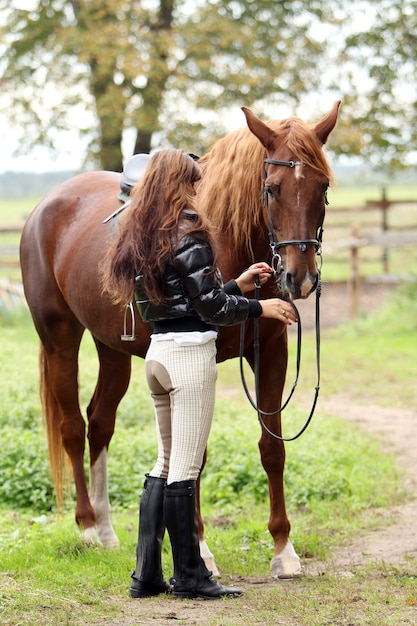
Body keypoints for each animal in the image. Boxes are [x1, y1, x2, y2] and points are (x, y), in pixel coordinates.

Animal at [19, 101, 340, 576]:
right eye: (272, 188)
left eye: (323, 186)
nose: (298, 279)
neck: (228, 239)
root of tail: (46, 207)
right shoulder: (198, 361)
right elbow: (196, 455)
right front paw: (200, 550)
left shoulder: (271, 354)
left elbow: (272, 448)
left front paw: (284, 550)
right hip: (60, 339)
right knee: (73, 427)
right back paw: (87, 527)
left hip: (111, 347)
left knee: (100, 422)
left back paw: (108, 530)